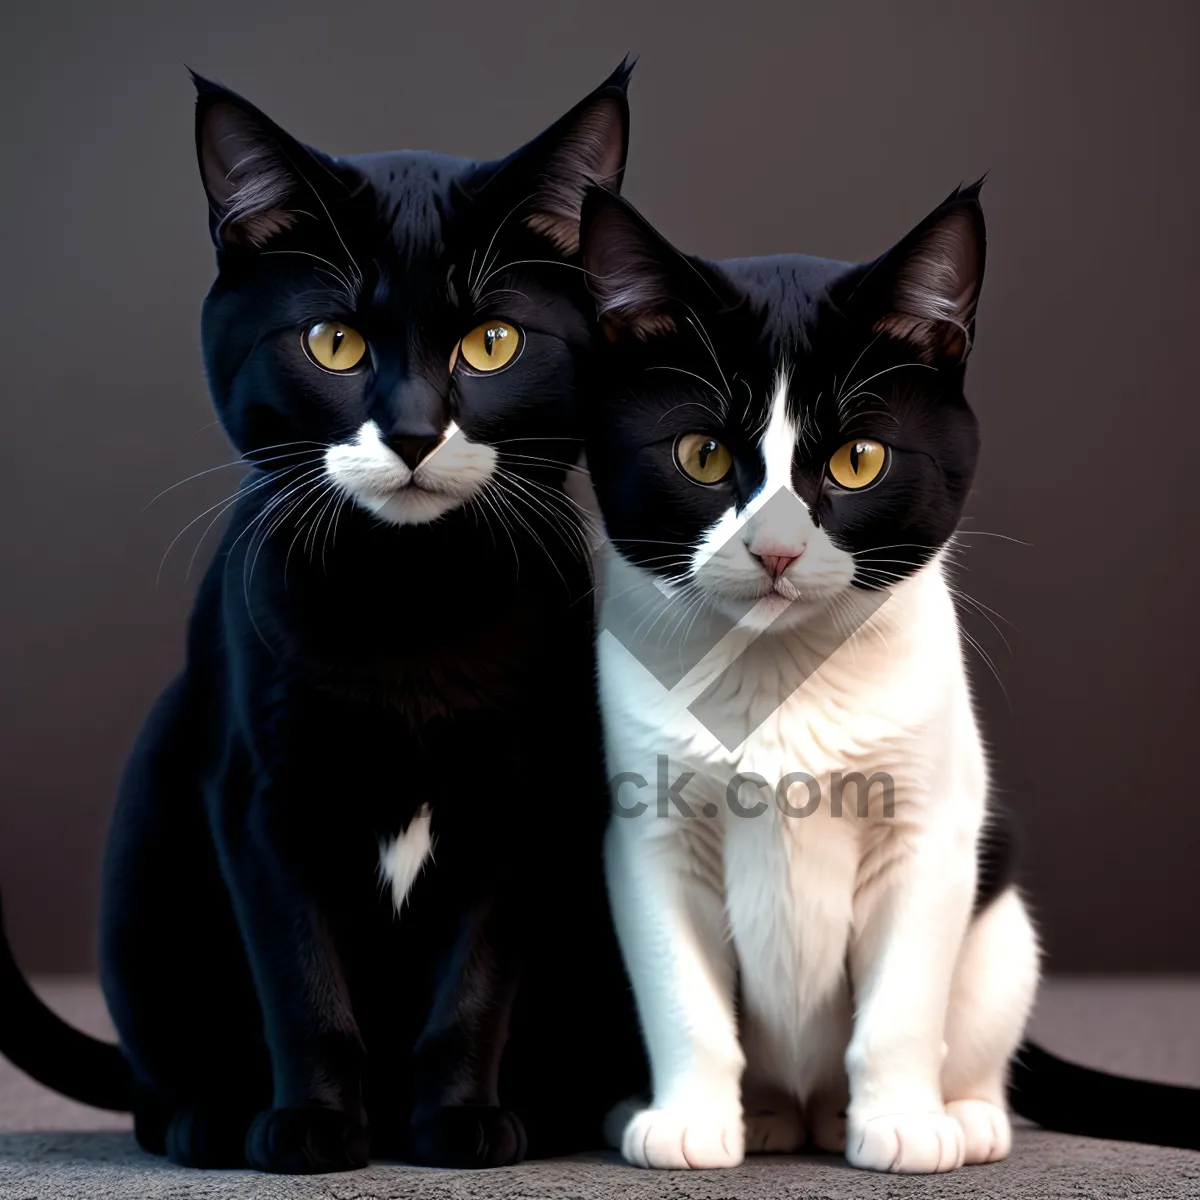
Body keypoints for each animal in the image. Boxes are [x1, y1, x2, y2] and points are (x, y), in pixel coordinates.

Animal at [0, 65, 638, 1171]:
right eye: (333, 343)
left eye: (493, 342)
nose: (416, 431)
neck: (410, 601)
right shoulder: (261, 793)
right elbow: (301, 987)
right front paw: (311, 1128)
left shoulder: (520, 794)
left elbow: (474, 985)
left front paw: (461, 1123)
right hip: (155, 799)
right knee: (160, 1067)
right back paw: (205, 1117)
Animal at [571, 187, 1200, 1171]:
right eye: (703, 456)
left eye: (858, 460)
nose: (777, 549)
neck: (783, 678)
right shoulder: (651, 837)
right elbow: (684, 998)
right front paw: (689, 1119)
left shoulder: (929, 832)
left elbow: (902, 1006)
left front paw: (901, 1123)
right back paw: (757, 1115)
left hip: (1003, 931)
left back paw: (956, 1115)